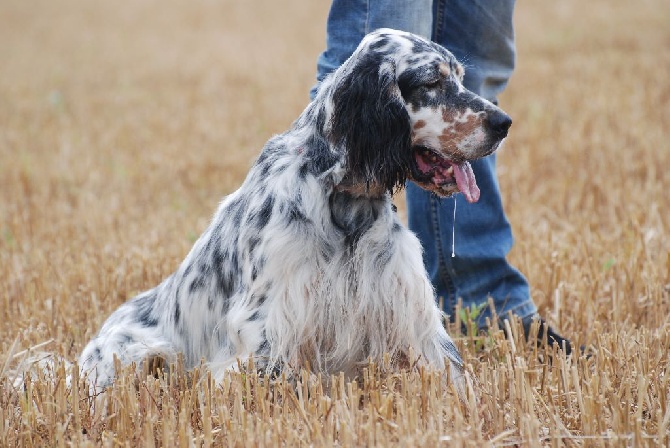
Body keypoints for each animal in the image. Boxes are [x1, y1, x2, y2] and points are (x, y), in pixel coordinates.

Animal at [81, 28, 516, 392]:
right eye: (432, 82)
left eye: (459, 77)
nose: (504, 122)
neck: (344, 199)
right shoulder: (267, 325)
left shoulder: (411, 315)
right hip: (132, 355)